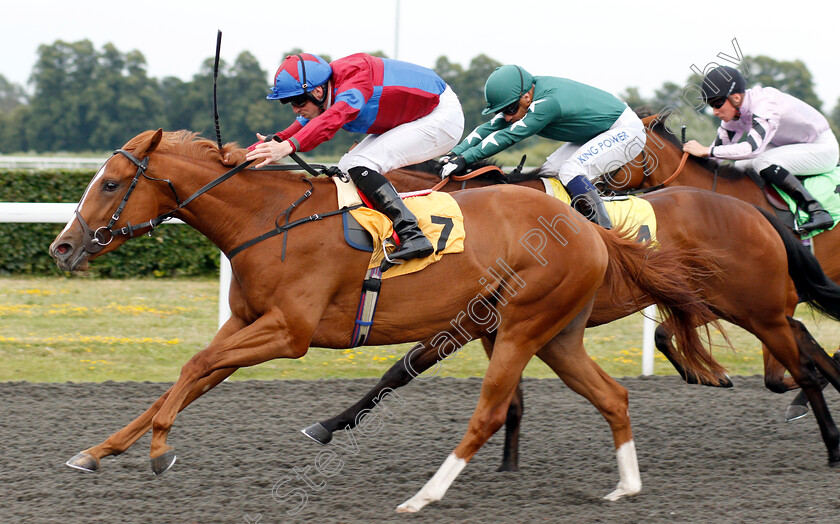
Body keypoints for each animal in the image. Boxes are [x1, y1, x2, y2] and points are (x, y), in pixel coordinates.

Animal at [49, 130, 724, 512]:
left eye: (110, 184)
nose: (62, 247)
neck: (267, 220)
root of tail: (586, 226)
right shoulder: (244, 322)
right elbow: (191, 376)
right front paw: (99, 451)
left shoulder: (288, 333)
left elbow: (195, 366)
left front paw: (160, 449)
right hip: (554, 334)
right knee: (612, 396)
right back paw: (626, 487)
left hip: (520, 325)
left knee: (489, 413)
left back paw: (424, 496)